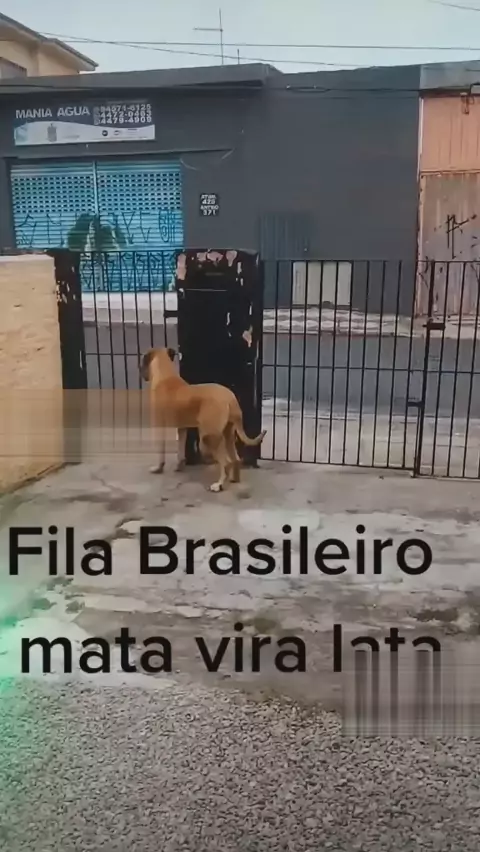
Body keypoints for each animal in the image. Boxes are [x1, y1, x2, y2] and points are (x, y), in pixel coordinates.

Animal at [140, 347, 266, 492]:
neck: (165, 374)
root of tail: (229, 397)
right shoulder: (182, 428)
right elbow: (180, 448)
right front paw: (179, 465)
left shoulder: (159, 426)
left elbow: (161, 451)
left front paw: (158, 468)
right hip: (228, 433)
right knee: (235, 459)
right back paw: (234, 479)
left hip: (208, 438)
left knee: (226, 462)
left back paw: (219, 485)